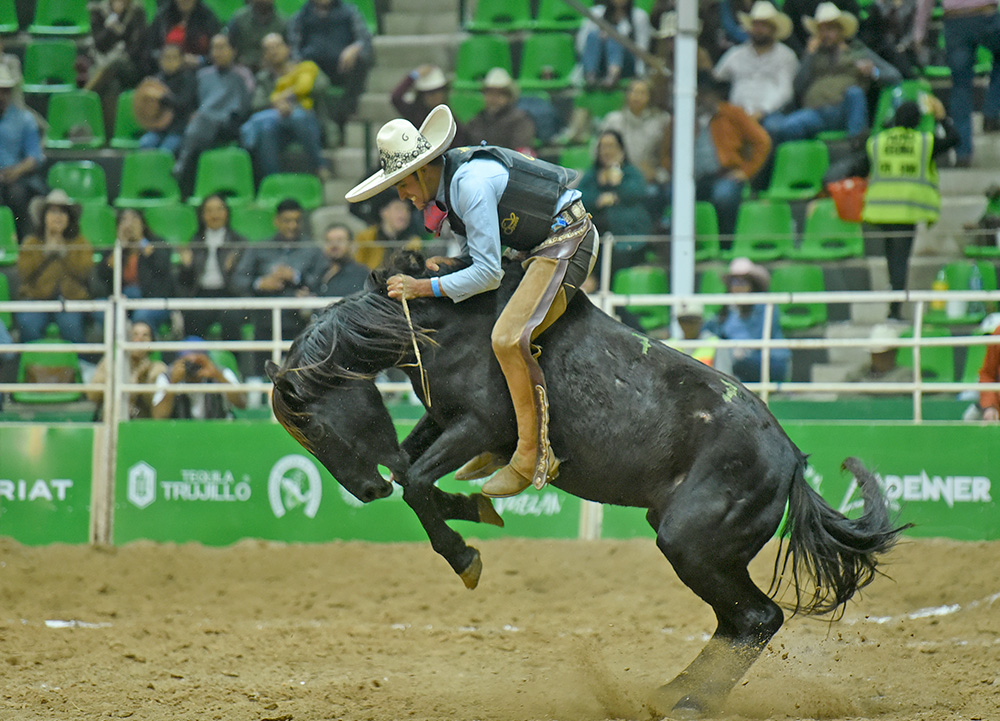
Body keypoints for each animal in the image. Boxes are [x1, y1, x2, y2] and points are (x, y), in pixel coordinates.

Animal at [266, 252, 908, 716]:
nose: (362, 491)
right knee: (739, 624)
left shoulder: (481, 426)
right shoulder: (446, 423)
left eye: (313, 424)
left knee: (758, 620)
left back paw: (689, 702)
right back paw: (667, 693)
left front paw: (464, 553)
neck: (445, 327)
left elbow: (418, 480)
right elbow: (409, 473)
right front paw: (473, 507)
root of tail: (789, 458)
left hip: (691, 543)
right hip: (704, 550)